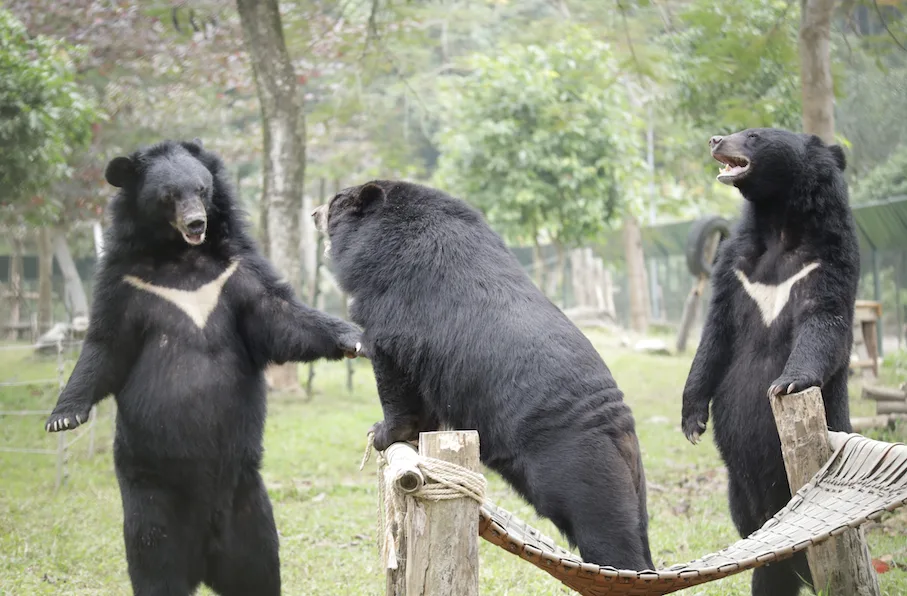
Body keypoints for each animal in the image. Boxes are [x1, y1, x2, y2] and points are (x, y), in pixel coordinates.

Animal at [45, 139, 363, 596]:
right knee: (155, 565)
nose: (196, 222)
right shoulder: (122, 282)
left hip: (249, 504)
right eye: (169, 196)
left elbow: (278, 315)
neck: (181, 255)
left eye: (202, 188)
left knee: (259, 569)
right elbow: (106, 345)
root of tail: (206, 559)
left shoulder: (235, 268)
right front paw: (62, 417)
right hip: (151, 497)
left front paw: (353, 336)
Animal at [312, 180, 654, 571]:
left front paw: (384, 433)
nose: (313, 212)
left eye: (334, 202)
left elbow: (394, 373)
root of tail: (617, 425)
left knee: (608, 532)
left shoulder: (392, 307)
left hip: (580, 468)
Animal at [681, 128, 859, 596]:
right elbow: (716, 333)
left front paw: (786, 383)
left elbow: (824, 320)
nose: (715, 139)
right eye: (734, 133)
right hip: (738, 493)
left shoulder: (828, 260)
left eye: (754, 136)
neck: (780, 224)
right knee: (762, 549)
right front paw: (692, 422)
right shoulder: (735, 265)